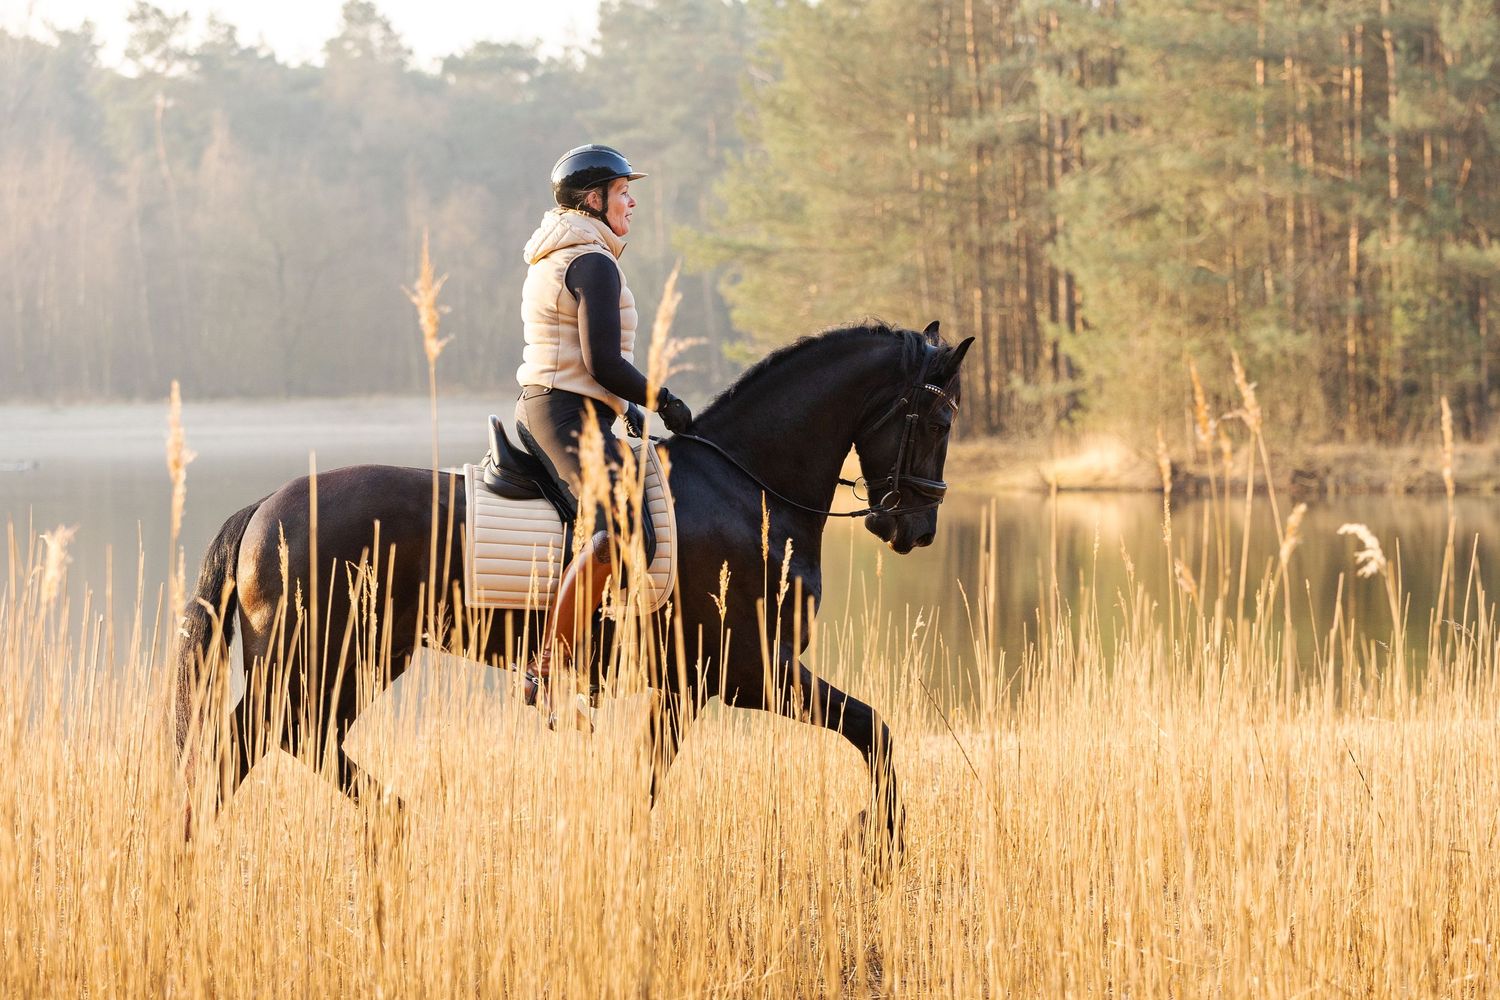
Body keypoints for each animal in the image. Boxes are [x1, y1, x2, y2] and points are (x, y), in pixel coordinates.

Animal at [174, 321, 972, 866]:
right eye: (938, 420)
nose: (918, 526)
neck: (746, 486)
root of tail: (265, 507)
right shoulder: (749, 668)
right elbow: (875, 730)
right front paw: (878, 839)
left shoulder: (684, 685)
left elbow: (651, 775)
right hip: (316, 656)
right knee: (256, 742)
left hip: (357, 657)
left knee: (294, 739)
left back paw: (387, 817)